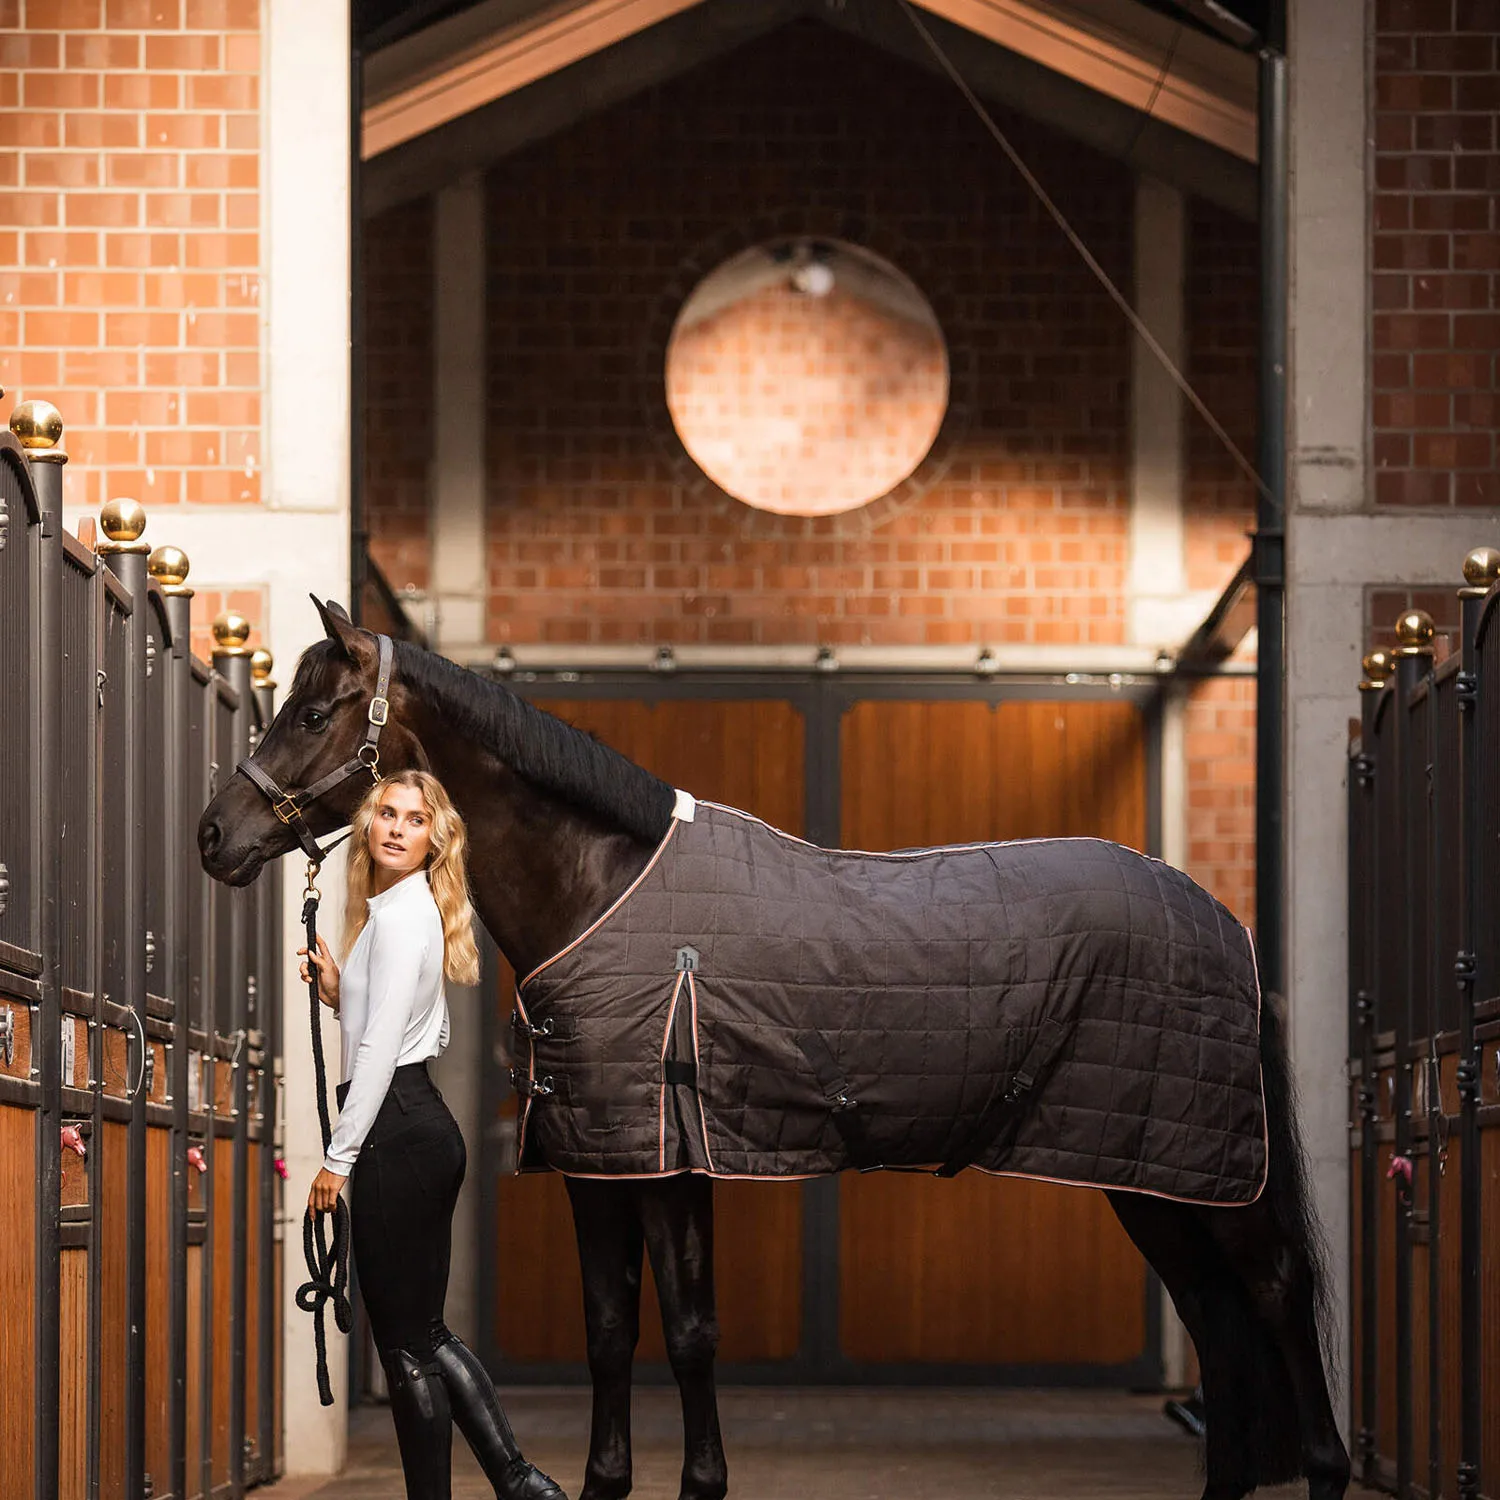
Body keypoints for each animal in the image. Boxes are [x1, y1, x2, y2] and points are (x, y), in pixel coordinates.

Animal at [198, 602, 1351, 1500]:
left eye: (312, 714)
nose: (214, 836)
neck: (604, 889)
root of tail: (1224, 923)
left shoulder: (666, 1161)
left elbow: (688, 1332)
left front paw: (700, 1482)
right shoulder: (604, 1163)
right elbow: (611, 1328)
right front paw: (610, 1480)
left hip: (1210, 1177)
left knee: (1276, 1294)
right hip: (1149, 1174)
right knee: (1215, 1320)